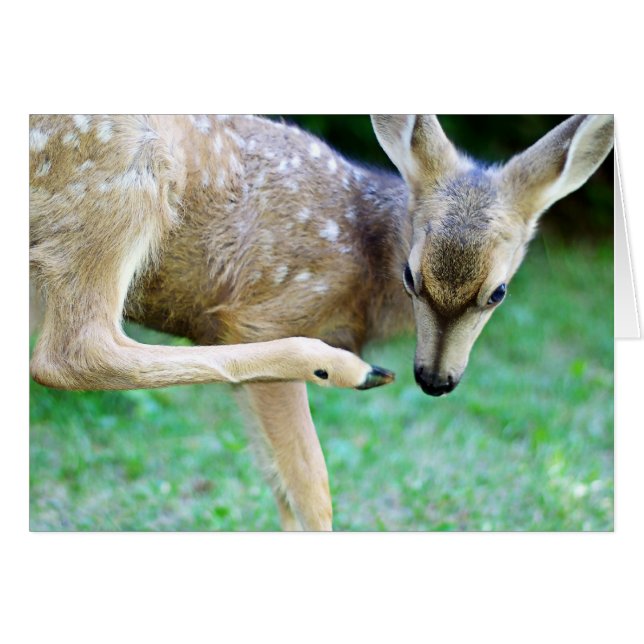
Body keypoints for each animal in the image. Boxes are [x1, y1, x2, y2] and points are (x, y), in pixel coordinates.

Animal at [29, 114, 614, 531]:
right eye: (410, 276)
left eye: (498, 292)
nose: (435, 379)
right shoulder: (265, 315)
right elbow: (313, 490)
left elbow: (281, 487)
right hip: (122, 179)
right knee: (72, 352)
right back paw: (347, 369)